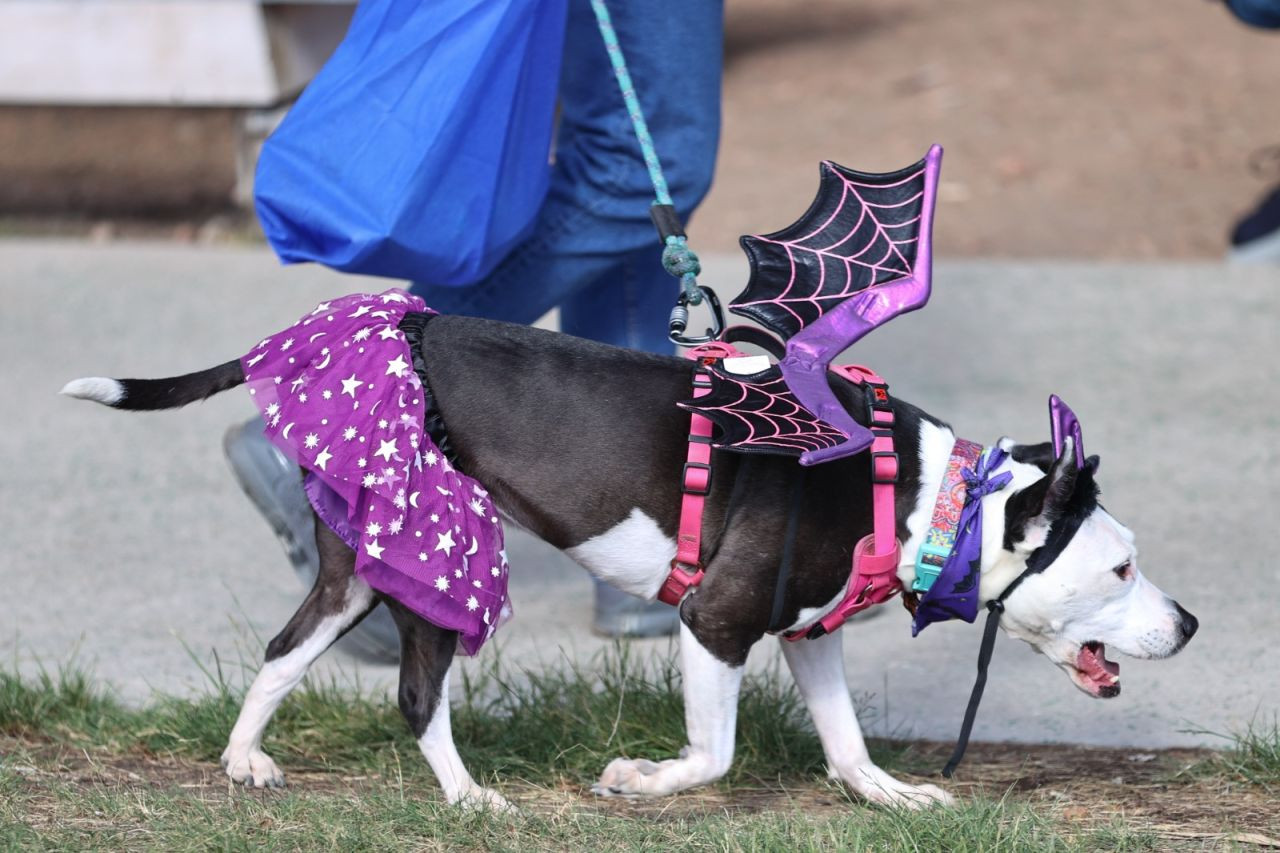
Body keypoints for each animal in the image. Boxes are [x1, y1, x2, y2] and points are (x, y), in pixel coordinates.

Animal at [62, 308, 1198, 809]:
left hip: (358, 567)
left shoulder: (807, 632)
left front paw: (888, 795)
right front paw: (638, 780)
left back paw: (244, 759)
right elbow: (715, 754)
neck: (929, 499)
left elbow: (842, 742)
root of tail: (367, 326)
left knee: (284, 648)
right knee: (418, 693)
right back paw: (470, 798)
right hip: (440, 554)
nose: (1187, 622)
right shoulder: (716, 625)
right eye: (1120, 569)